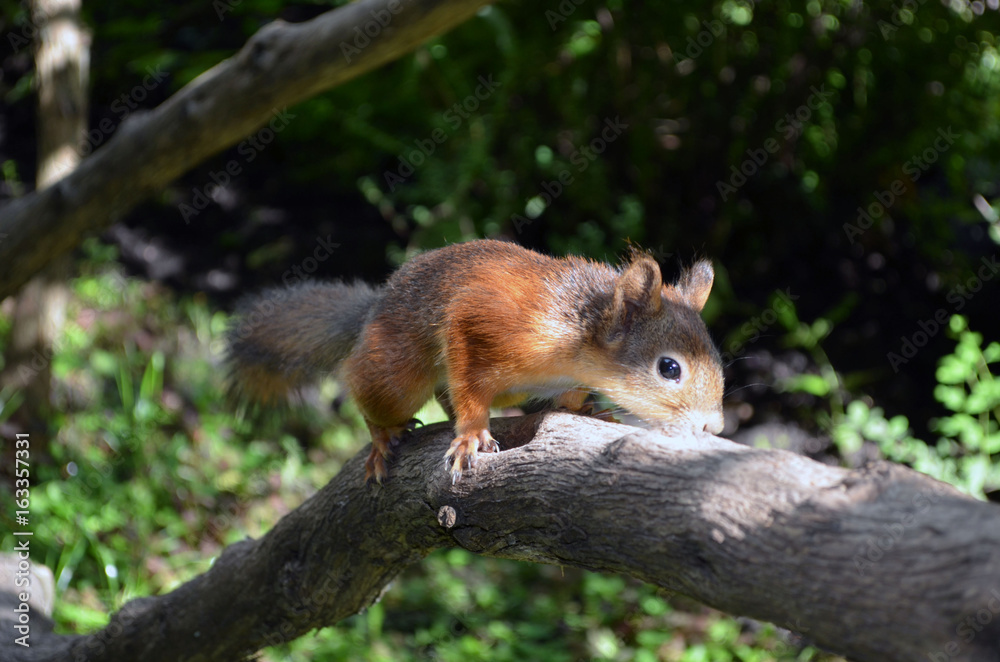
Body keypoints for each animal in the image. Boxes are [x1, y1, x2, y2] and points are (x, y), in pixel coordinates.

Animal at [227, 239, 724, 483]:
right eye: (669, 368)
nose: (714, 426)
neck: (576, 338)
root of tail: (373, 311)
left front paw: (589, 408)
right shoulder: (478, 322)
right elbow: (468, 385)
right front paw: (470, 436)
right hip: (395, 375)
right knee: (370, 388)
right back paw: (382, 438)